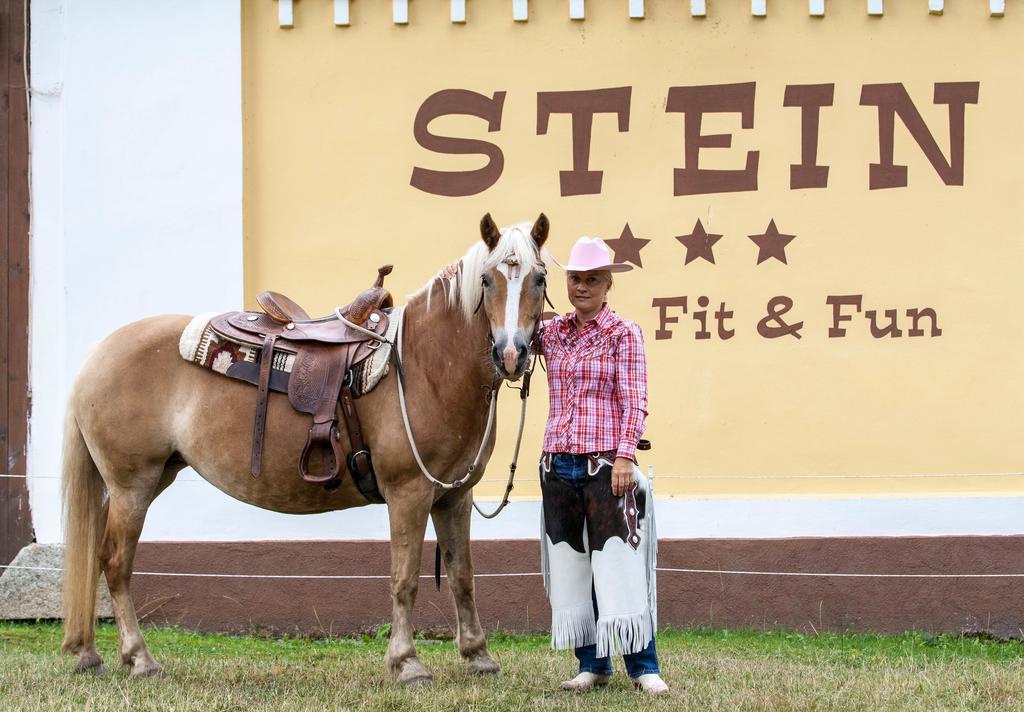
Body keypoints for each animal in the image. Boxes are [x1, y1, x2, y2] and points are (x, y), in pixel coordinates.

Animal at [59, 213, 548, 684]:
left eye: (540, 278)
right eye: (487, 280)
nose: (510, 354)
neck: (423, 367)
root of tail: (97, 355)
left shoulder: (453, 496)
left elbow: (463, 575)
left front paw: (479, 656)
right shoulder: (408, 493)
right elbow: (404, 578)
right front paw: (407, 663)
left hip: (146, 478)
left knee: (95, 556)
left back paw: (87, 653)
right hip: (133, 484)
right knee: (115, 562)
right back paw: (139, 659)